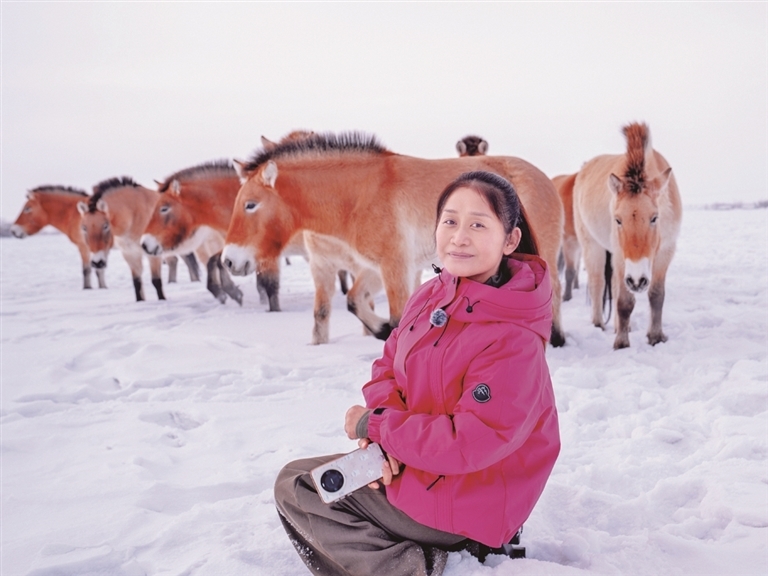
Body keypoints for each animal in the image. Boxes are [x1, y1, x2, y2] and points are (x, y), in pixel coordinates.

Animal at [222, 132, 565, 346]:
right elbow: (353, 301)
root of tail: (544, 178)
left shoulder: (394, 266)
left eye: (250, 204)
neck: (361, 195)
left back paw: (556, 339)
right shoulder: (374, 267)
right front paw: (381, 330)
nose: (228, 260)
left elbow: (398, 316)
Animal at [573, 122, 682, 349]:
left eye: (654, 218)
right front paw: (621, 343)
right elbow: (624, 301)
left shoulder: (666, 251)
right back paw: (599, 324)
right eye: (617, 220)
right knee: (598, 283)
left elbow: (656, 295)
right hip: (593, 246)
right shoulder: (621, 256)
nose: (638, 281)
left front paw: (655, 337)